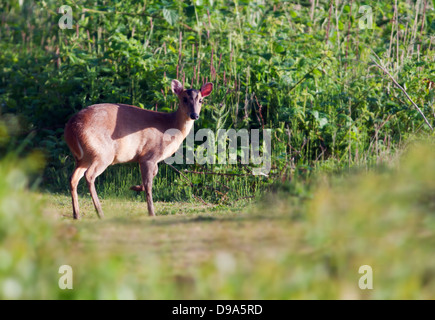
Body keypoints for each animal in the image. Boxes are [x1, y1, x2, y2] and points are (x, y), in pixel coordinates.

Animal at [64, 80, 213, 220]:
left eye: (201, 100)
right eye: (184, 99)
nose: (194, 115)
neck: (169, 126)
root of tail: (71, 128)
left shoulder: (149, 158)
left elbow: (154, 174)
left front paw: (134, 187)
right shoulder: (149, 155)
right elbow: (149, 184)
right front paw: (151, 212)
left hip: (83, 158)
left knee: (73, 178)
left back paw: (77, 214)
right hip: (102, 153)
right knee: (89, 175)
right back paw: (100, 213)